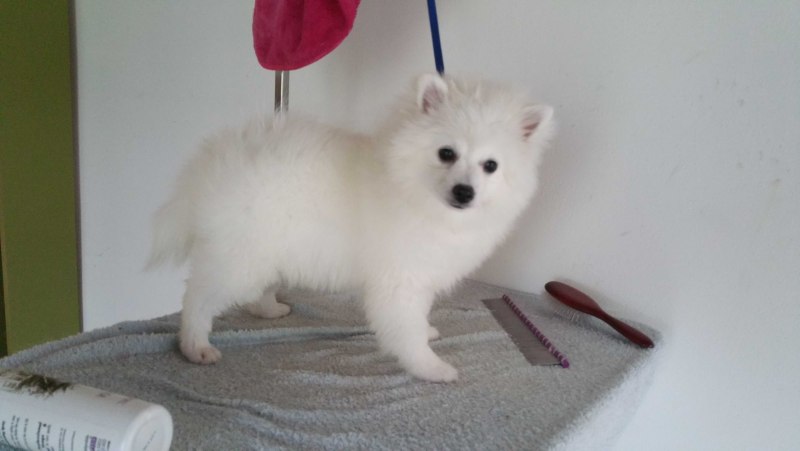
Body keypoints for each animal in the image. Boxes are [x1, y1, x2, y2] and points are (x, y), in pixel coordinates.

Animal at [148, 74, 554, 382]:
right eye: (446, 153)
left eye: (491, 165)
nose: (464, 192)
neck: (412, 189)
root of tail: (217, 162)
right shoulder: (399, 280)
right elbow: (406, 331)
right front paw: (431, 368)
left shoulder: (420, 276)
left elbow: (418, 318)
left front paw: (427, 334)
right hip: (241, 256)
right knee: (198, 297)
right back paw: (195, 346)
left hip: (265, 250)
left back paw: (269, 310)